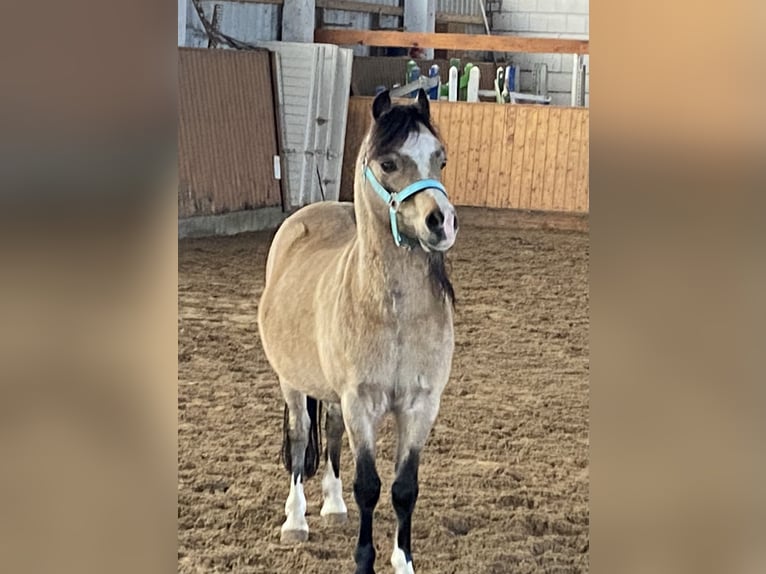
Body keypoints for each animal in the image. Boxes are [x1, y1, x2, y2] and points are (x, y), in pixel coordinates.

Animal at [257, 88, 458, 574]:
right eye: (388, 163)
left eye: (440, 159)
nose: (442, 221)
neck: (395, 313)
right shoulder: (360, 404)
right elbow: (368, 486)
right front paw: (364, 561)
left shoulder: (421, 406)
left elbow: (404, 489)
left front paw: (403, 561)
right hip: (292, 384)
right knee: (299, 442)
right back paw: (296, 521)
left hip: (331, 395)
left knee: (329, 434)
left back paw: (332, 507)